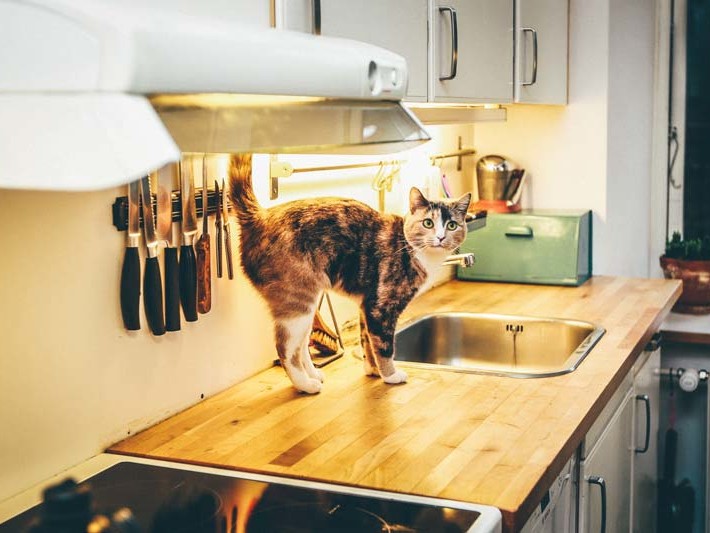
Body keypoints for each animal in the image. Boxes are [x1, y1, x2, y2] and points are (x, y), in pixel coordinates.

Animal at [229, 152, 472, 392]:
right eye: (428, 223)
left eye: (451, 225)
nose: (440, 237)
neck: (413, 250)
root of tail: (260, 216)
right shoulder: (381, 308)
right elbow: (384, 346)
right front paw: (390, 375)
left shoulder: (367, 305)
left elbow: (367, 342)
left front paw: (373, 371)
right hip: (297, 301)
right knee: (286, 348)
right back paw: (306, 384)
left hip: (307, 306)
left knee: (301, 345)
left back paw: (314, 374)